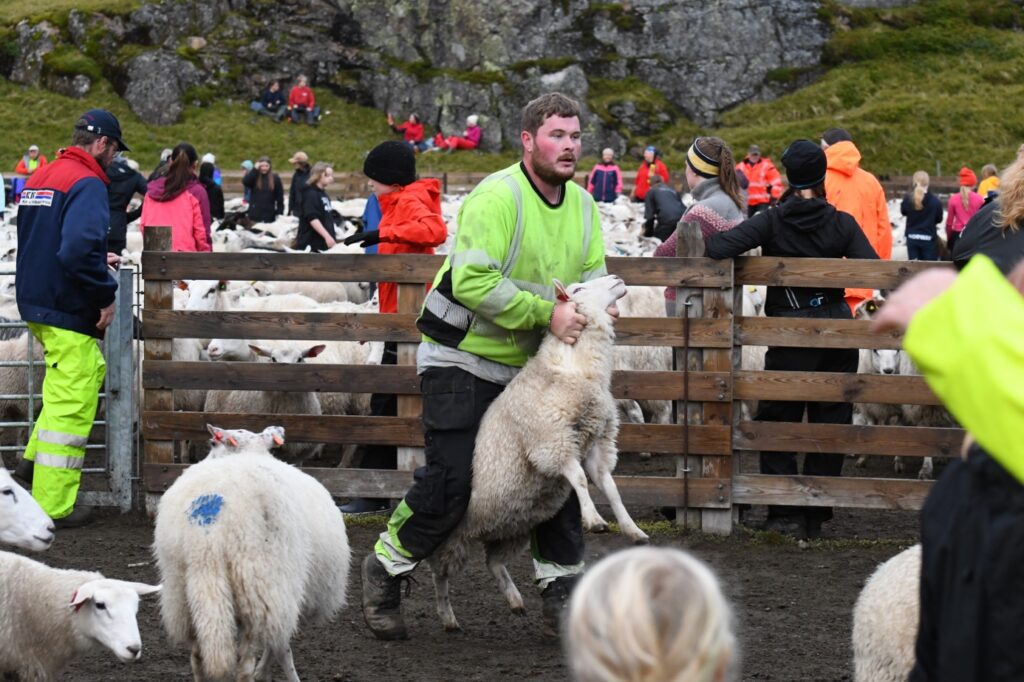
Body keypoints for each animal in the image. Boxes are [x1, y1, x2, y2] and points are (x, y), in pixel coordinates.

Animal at [152, 421, 352, 675]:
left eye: (213, 443)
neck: (251, 452)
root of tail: (208, 539)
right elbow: (280, 645)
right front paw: (269, 672)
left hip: (183, 591)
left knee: (197, 656)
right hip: (259, 585)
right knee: (249, 660)